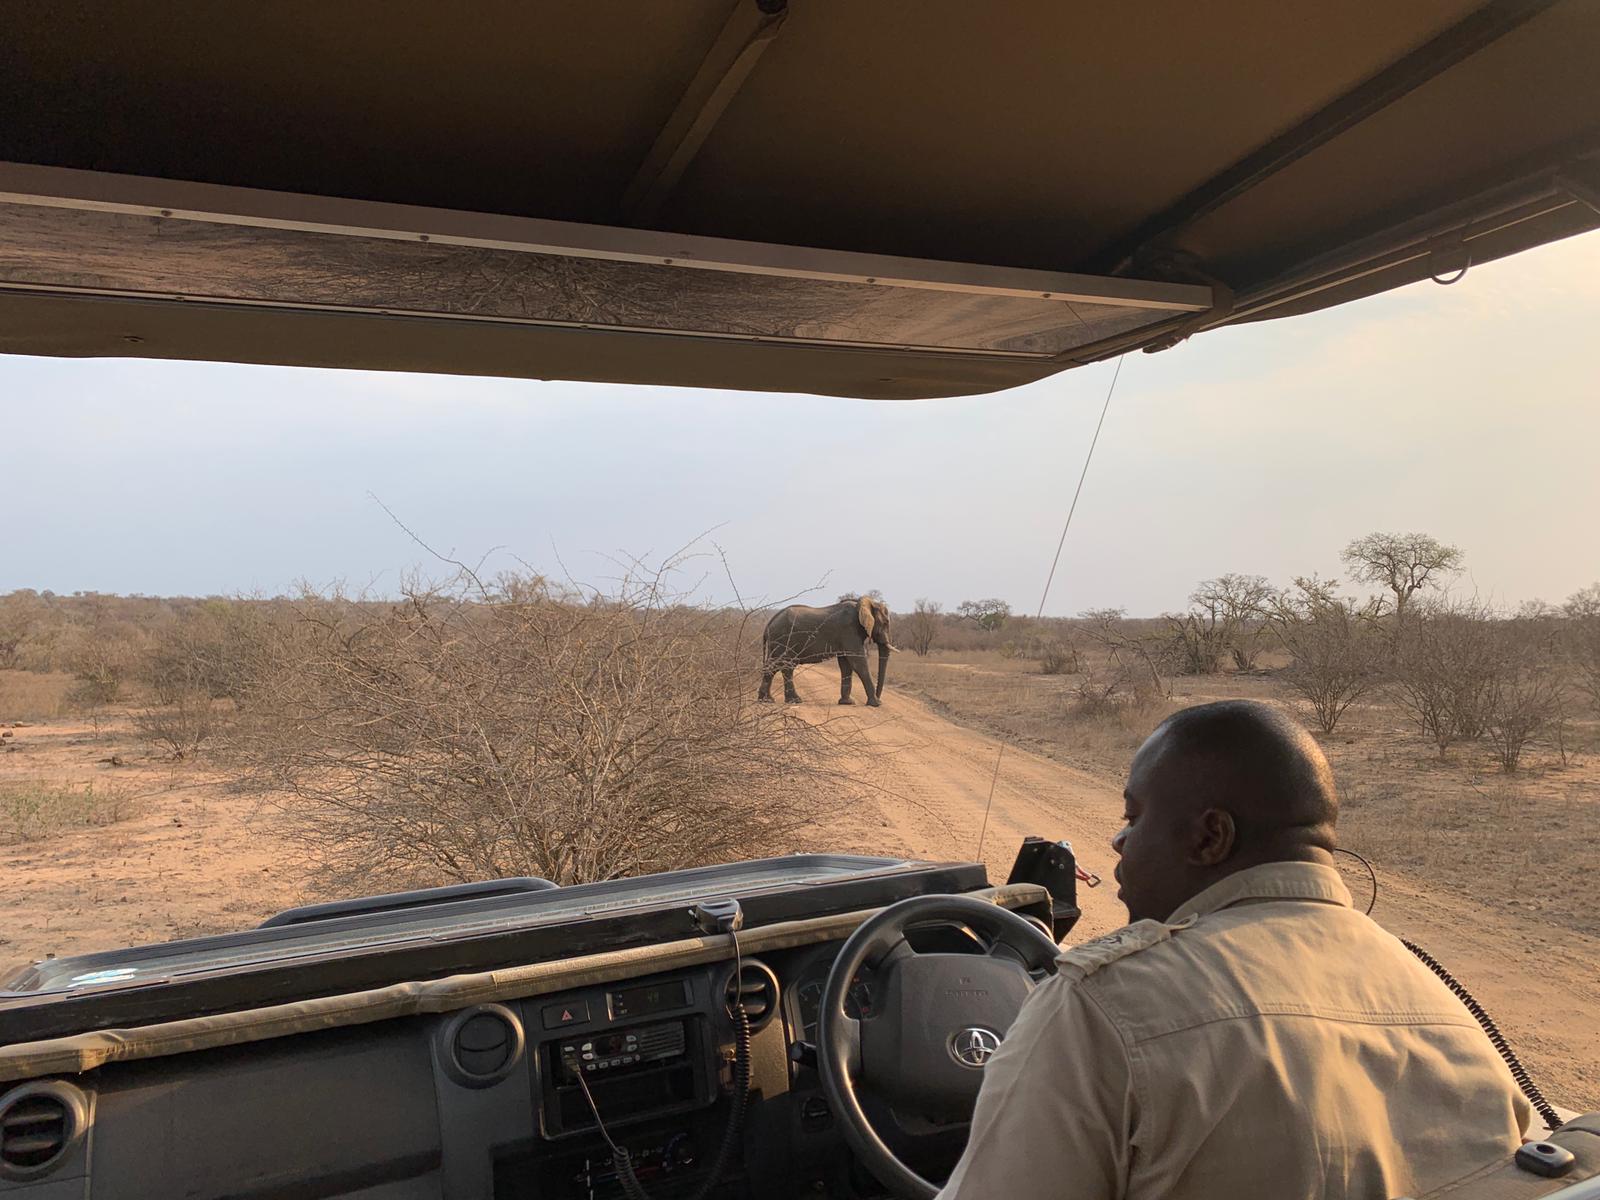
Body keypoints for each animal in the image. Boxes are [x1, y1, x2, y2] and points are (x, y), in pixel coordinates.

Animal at [755, 598, 896, 710]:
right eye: (885, 623)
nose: (879, 698)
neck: (863, 603)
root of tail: (769, 623)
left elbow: (845, 665)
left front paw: (847, 703)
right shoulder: (849, 631)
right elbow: (858, 662)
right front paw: (876, 704)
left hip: (777, 641)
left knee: (775, 665)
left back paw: (767, 700)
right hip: (783, 639)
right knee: (786, 665)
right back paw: (794, 700)